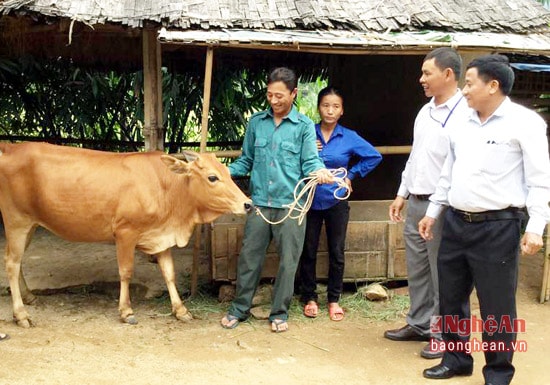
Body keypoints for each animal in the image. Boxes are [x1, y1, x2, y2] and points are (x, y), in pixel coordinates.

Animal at [0, 142, 253, 328]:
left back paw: (29, 297)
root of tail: (10, 147)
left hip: (31, 225)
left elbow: (169, 274)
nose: (248, 204)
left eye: (228, 172)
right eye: (212, 177)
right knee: (11, 263)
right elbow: (126, 272)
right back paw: (21, 314)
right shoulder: (125, 232)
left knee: (17, 261)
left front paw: (181, 310)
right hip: (16, 222)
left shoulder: (161, 239)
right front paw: (126, 311)